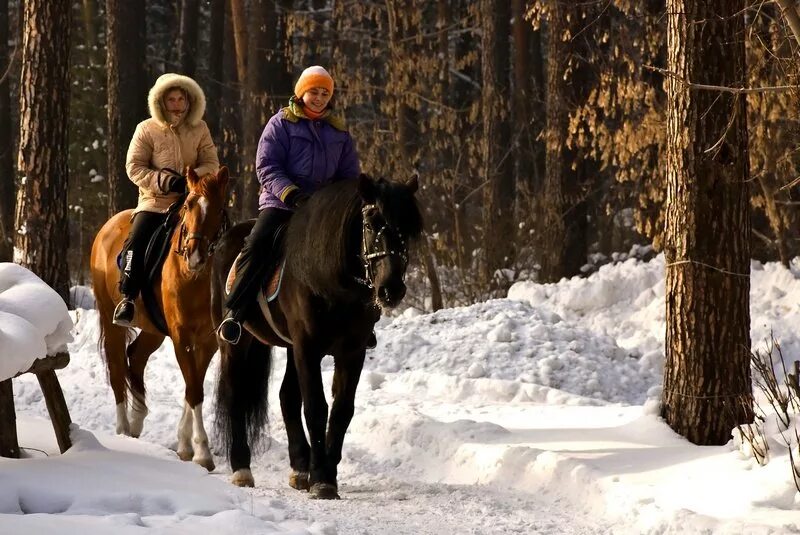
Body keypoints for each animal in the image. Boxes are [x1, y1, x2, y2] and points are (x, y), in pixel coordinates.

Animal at [91, 166, 230, 468]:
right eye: (188, 205)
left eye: (218, 208)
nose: (195, 256)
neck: (195, 279)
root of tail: (106, 229)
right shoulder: (181, 336)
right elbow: (194, 388)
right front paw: (202, 452)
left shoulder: (208, 341)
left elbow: (193, 386)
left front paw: (186, 445)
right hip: (110, 318)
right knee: (117, 367)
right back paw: (123, 428)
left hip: (153, 330)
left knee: (136, 357)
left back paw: (137, 420)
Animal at [212, 174, 424, 500]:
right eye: (371, 223)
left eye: (407, 230)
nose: (391, 289)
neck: (333, 282)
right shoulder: (309, 347)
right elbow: (316, 407)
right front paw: (322, 478)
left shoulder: (351, 351)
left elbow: (341, 410)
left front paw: (326, 473)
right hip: (236, 343)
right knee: (236, 394)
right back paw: (241, 469)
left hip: (290, 347)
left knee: (286, 397)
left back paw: (300, 468)